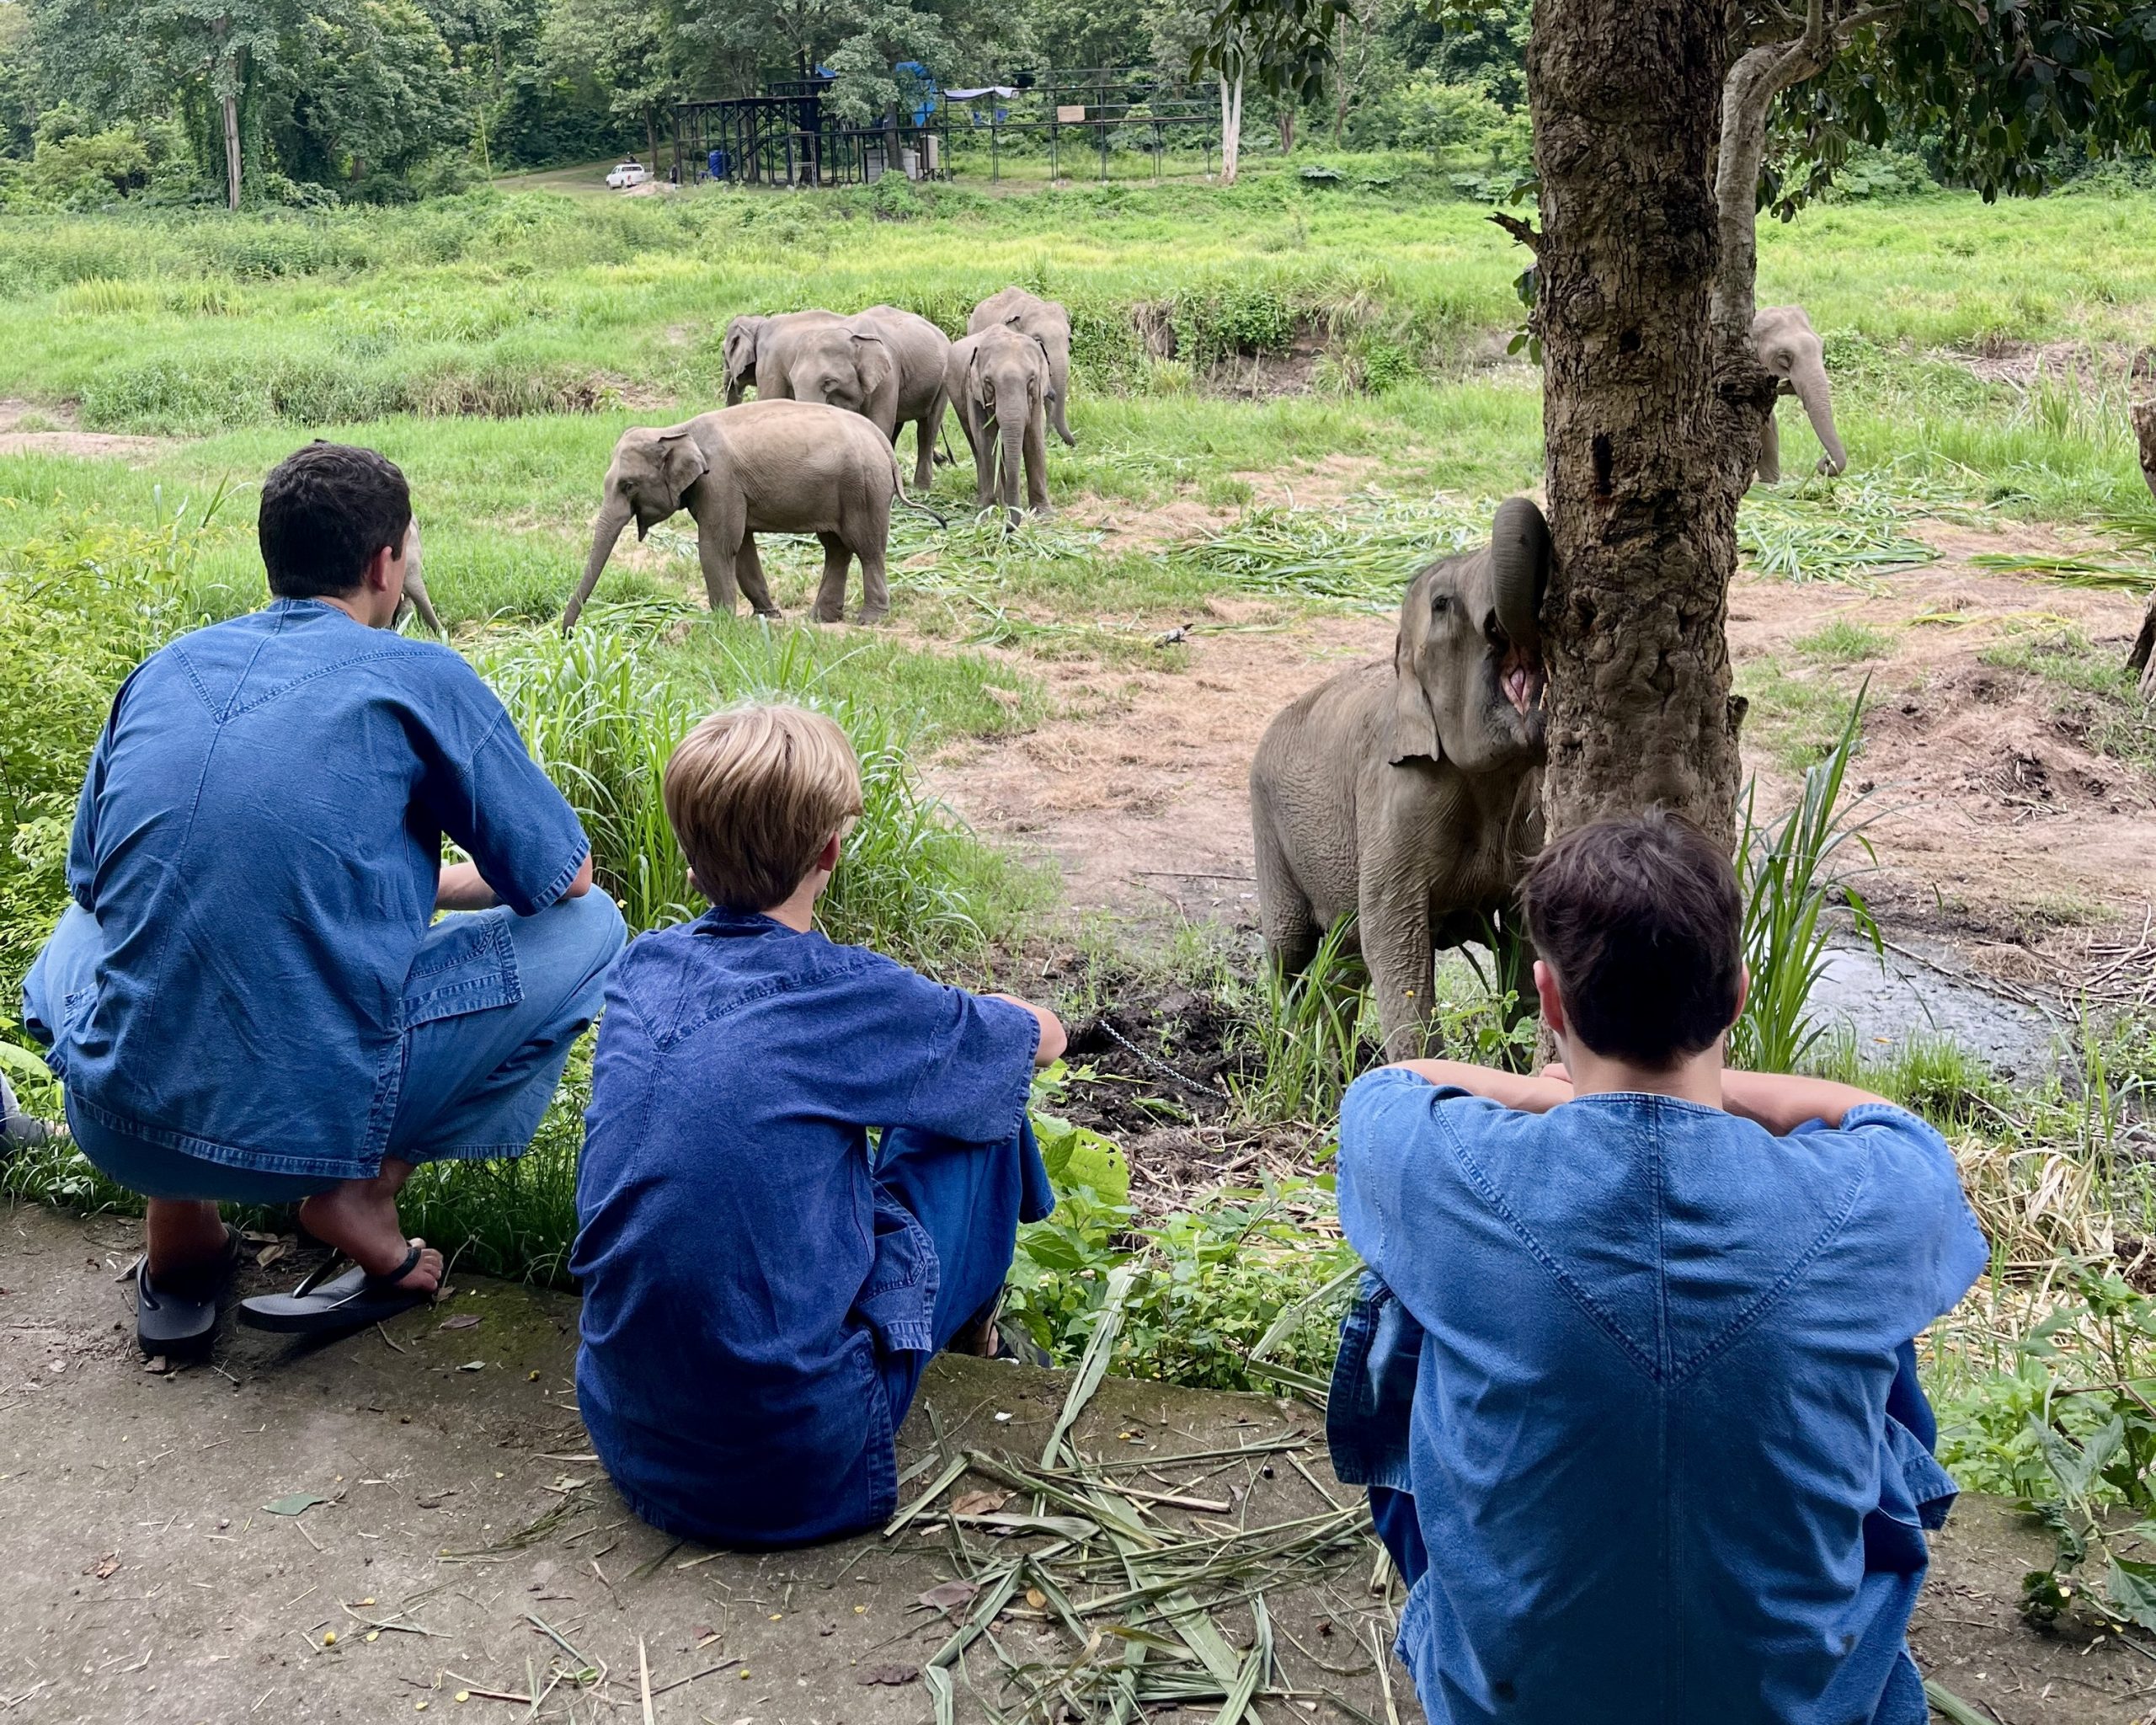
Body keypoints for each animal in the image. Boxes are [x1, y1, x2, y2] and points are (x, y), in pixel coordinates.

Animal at [564, 399, 937, 631]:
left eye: (628, 486)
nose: (567, 634)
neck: (677, 429)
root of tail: (881, 440)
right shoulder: (726, 491)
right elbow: (741, 547)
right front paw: (768, 616)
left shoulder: (719, 482)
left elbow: (716, 546)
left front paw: (720, 622)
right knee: (837, 548)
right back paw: (820, 618)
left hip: (863, 488)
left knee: (867, 547)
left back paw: (869, 619)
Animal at [947, 324, 1050, 526]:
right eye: (988, 382)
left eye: (1032, 379)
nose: (1010, 526)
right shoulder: (974, 394)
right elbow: (987, 440)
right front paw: (988, 515)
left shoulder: (1036, 397)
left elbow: (1034, 439)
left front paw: (1044, 515)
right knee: (976, 445)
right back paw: (992, 503)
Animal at [1249, 497, 1552, 1055]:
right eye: (1442, 604)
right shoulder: (1397, 801)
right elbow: (1395, 939)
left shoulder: (1531, 819)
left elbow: (1525, 935)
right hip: (1269, 831)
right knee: (1290, 949)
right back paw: (1288, 1050)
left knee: (1344, 965)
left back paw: (1329, 1063)